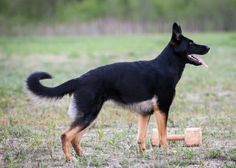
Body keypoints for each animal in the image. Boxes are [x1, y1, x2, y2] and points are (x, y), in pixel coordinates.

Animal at [26, 22, 210, 160]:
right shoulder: (162, 110)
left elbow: (141, 138)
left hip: (89, 117)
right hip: (89, 115)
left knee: (75, 138)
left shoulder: (145, 114)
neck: (166, 66)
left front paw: (144, 154)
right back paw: (69, 159)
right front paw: (168, 153)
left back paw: (82, 156)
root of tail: (79, 79)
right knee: (66, 136)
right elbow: (163, 136)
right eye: (191, 43)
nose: (208, 47)